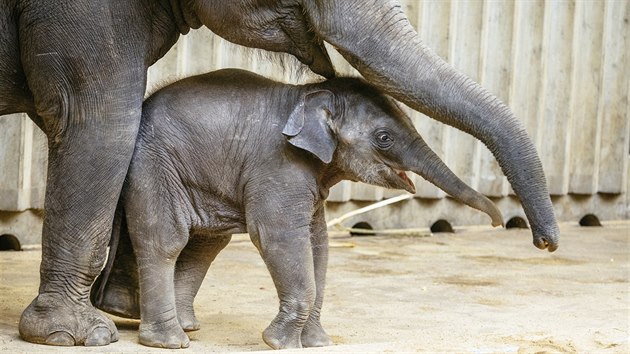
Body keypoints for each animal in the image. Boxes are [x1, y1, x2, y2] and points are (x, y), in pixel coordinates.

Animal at [97, 68, 504, 348]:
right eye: (384, 138)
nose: (499, 223)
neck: (309, 94)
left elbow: (318, 245)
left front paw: (317, 343)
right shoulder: (279, 165)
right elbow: (277, 237)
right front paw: (278, 343)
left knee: (205, 246)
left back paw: (187, 328)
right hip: (155, 165)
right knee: (167, 240)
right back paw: (170, 342)